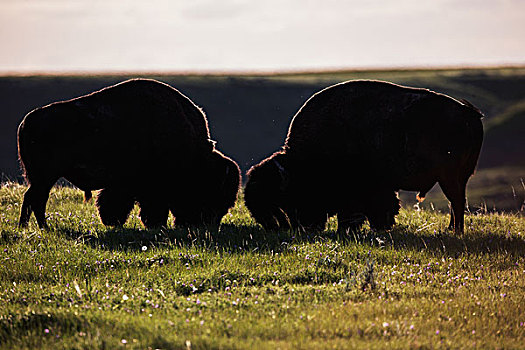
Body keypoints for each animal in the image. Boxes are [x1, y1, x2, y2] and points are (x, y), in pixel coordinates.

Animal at [17, 78, 241, 228]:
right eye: (213, 191)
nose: (209, 224)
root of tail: (26, 123)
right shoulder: (146, 187)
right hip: (45, 176)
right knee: (35, 199)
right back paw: (40, 227)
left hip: (42, 177)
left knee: (34, 198)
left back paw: (32, 227)